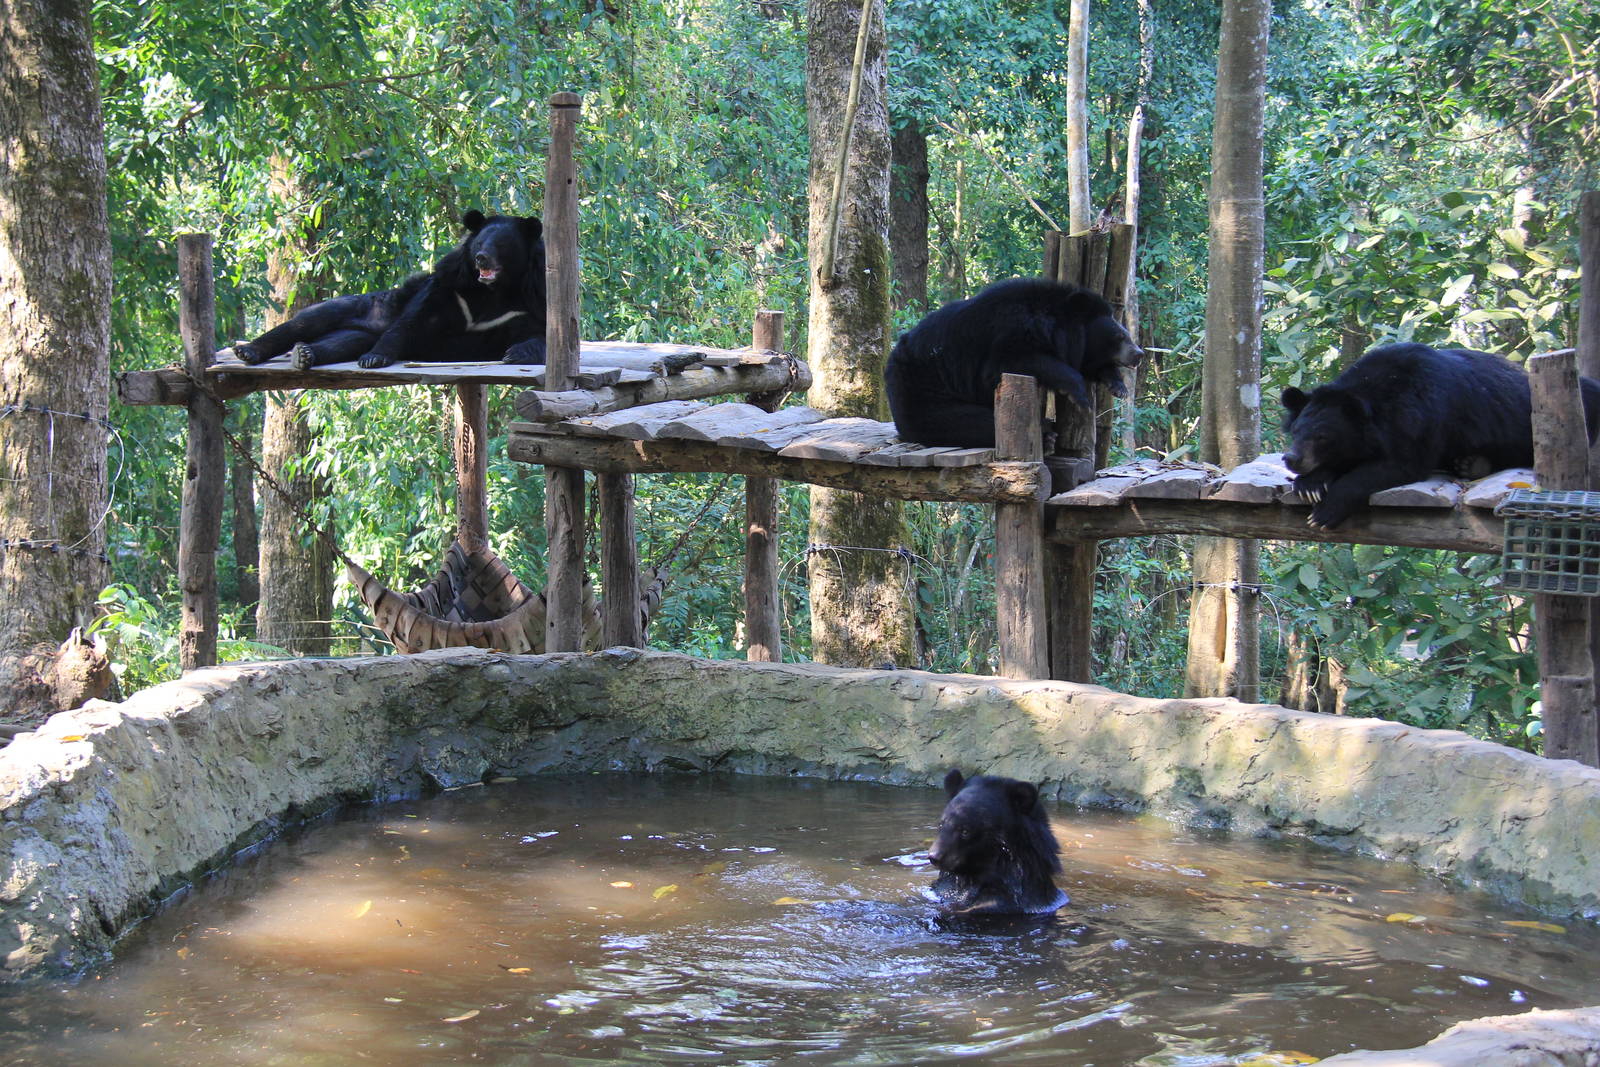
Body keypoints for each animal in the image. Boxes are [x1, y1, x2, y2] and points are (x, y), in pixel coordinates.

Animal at [233, 210, 546, 371]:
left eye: (502, 244)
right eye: (480, 242)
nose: (482, 258)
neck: (494, 289)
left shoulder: (529, 300)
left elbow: (539, 333)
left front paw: (514, 354)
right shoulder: (451, 288)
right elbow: (412, 320)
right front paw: (375, 358)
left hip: (357, 333)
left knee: (339, 344)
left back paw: (306, 355)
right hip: (361, 305)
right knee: (305, 323)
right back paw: (249, 351)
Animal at [885, 277, 1144, 448]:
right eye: (1119, 336)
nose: (1139, 354)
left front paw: (1118, 386)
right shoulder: (1007, 334)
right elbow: (1014, 363)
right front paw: (1079, 396)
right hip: (924, 392)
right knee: (966, 422)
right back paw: (1046, 435)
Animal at [1281, 342, 1600, 529]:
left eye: (1322, 437)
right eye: (1296, 431)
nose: (1291, 459)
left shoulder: (1423, 418)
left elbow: (1399, 464)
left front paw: (1323, 514)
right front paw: (1311, 484)